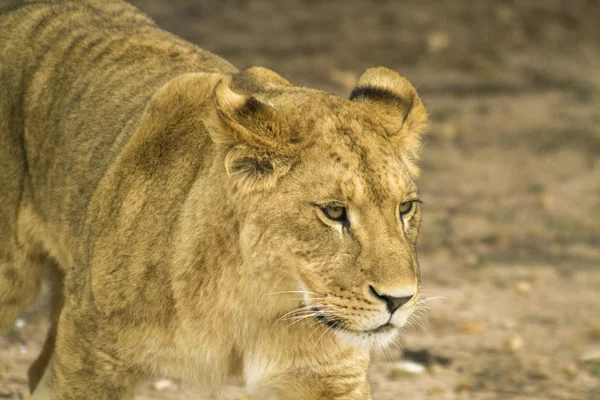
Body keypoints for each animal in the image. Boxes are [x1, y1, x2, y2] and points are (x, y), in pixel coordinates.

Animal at [2, 1, 428, 398]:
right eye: (335, 211)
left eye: (405, 208)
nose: (399, 300)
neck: (257, 300)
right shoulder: (91, 352)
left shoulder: (330, 376)